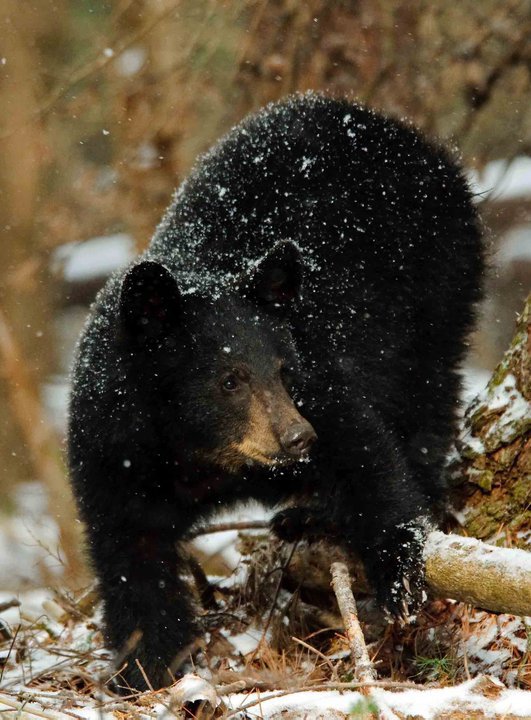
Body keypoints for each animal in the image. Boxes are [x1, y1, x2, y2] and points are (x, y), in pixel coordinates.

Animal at [67, 92, 484, 692]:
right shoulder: (113, 452)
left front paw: (401, 578)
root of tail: (402, 131)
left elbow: (364, 449)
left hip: (436, 284)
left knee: (424, 403)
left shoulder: (318, 378)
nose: (296, 438)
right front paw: (148, 669)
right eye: (230, 379)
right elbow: (131, 556)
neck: (201, 455)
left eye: (284, 371)